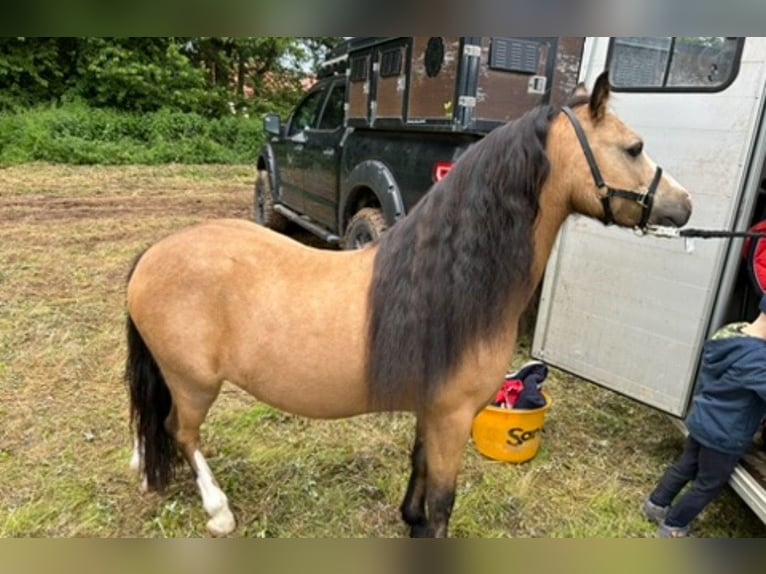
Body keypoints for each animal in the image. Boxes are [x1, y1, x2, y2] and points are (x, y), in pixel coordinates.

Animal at [125, 71, 692, 537]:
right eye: (634, 147)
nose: (685, 206)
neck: (451, 279)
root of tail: (152, 255)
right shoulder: (452, 416)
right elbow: (443, 503)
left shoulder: (432, 411)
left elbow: (418, 476)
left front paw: (409, 520)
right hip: (194, 383)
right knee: (181, 430)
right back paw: (219, 512)